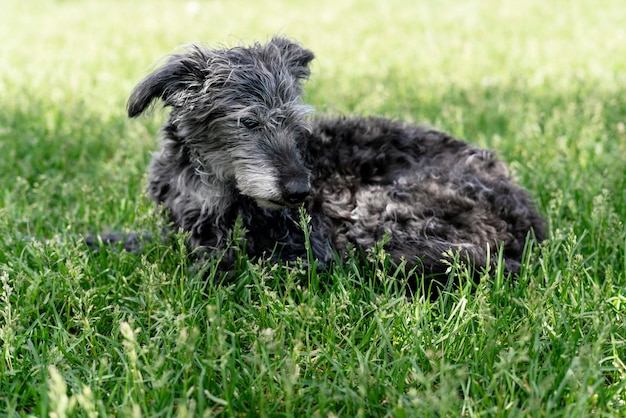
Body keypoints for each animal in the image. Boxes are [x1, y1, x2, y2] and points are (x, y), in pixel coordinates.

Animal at [125, 36, 540, 288]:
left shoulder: (306, 248)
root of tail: (530, 226)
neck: (208, 184)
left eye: (294, 121)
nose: (300, 191)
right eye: (248, 122)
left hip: (380, 211)